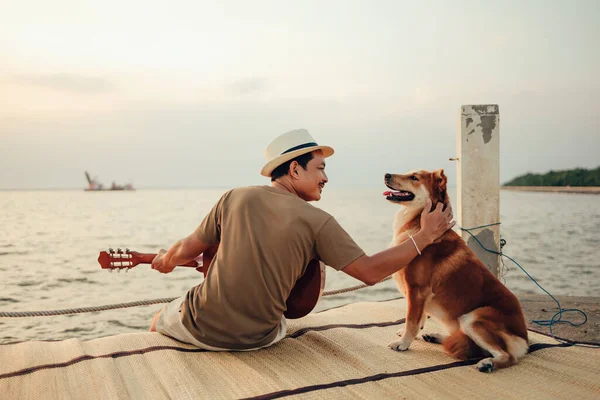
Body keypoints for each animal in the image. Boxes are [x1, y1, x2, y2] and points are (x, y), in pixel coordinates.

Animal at [382, 168, 528, 372]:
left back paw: (488, 363)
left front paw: (403, 343)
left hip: (473, 318)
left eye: (414, 177)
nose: (386, 174)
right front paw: (409, 334)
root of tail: (525, 340)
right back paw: (436, 337)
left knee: (507, 356)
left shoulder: (417, 291)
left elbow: (411, 320)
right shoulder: (420, 297)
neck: (420, 224)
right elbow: (418, 320)